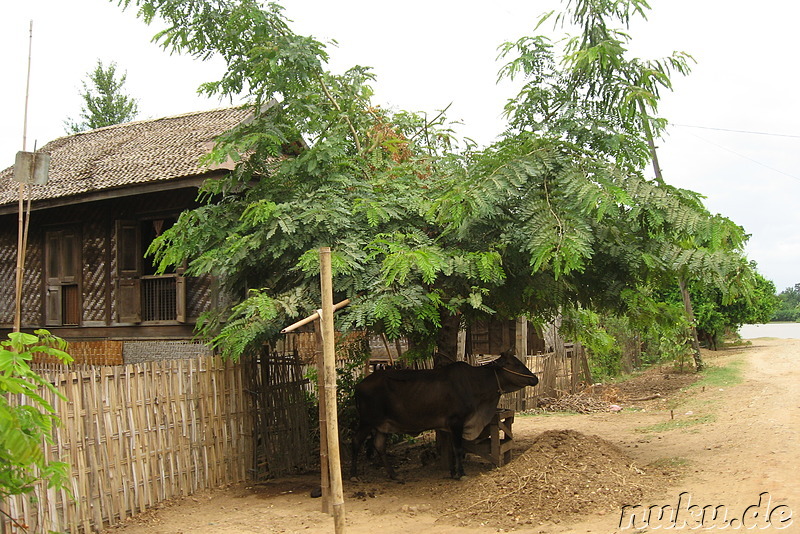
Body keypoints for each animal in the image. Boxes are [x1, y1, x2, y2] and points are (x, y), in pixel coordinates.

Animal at [350, 352, 536, 482]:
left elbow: (452, 448)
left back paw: (394, 474)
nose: (535, 378)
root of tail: (358, 386)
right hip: (367, 422)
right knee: (356, 441)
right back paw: (354, 475)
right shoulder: (457, 422)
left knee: (379, 445)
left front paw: (453, 472)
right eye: (516, 364)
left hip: (382, 425)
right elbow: (458, 448)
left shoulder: (448, 426)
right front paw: (461, 473)